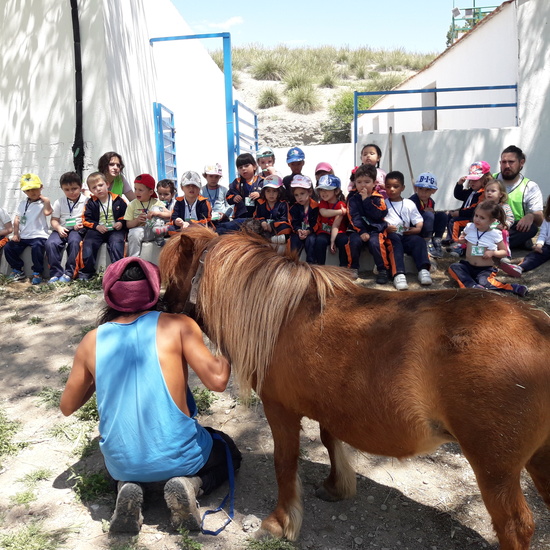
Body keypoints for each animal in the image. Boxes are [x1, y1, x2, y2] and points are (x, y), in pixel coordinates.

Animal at [162, 225, 550, 550]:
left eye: (173, 275)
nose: (162, 308)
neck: (285, 313)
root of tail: (538, 326)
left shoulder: (279, 409)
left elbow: (284, 462)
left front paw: (279, 522)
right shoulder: (330, 406)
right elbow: (330, 441)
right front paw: (336, 487)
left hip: (495, 470)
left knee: (515, 526)